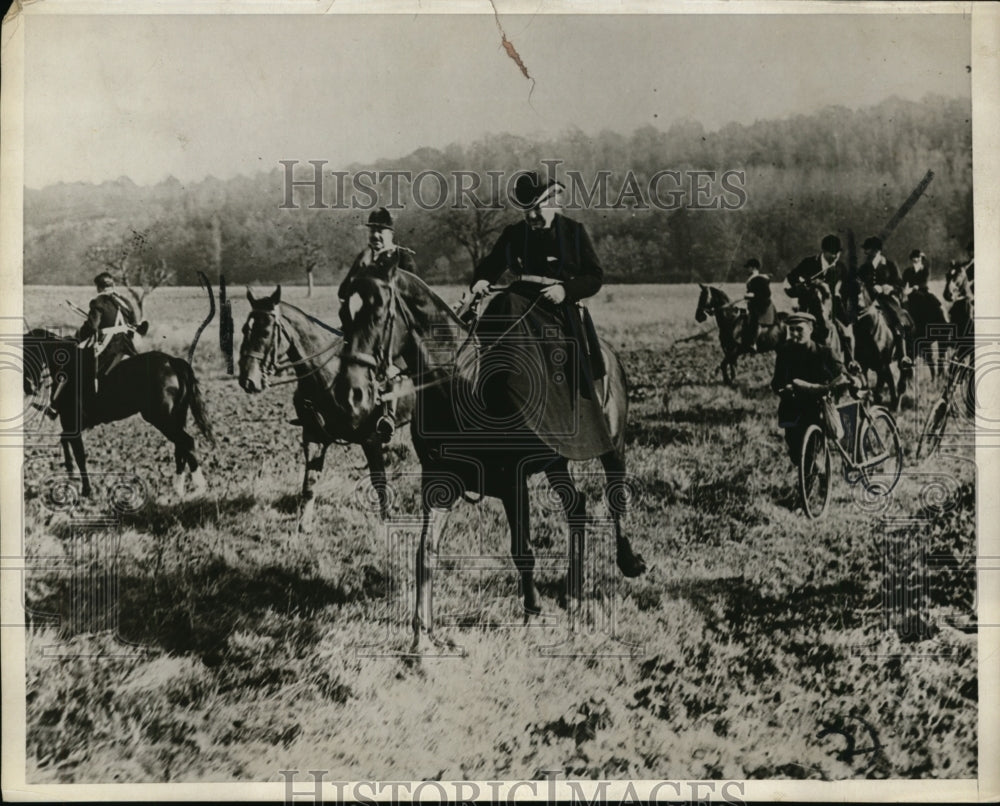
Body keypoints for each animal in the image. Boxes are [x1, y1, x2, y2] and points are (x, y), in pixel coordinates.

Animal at [21, 328, 214, 498]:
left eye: (28, 354)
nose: (28, 387)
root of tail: (172, 361)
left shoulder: (73, 425)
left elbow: (79, 455)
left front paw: (86, 490)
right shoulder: (74, 425)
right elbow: (65, 441)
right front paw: (71, 474)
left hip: (161, 419)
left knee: (186, 442)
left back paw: (198, 488)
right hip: (176, 417)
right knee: (180, 447)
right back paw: (178, 489)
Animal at [236, 288, 412, 532]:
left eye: (265, 332)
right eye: (245, 329)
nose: (248, 380)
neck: (333, 376)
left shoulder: (371, 439)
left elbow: (379, 480)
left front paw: (386, 519)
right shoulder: (314, 436)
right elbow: (310, 482)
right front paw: (304, 524)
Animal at [334, 268, 648, 652]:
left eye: (378, 312)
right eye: (344, 314)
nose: (349, 395)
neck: (463, 383)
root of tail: (607, 352)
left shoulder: (513, 481)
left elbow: (522, 549)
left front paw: (532, 613)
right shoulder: (438, 481)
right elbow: (426, 551)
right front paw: (421, 634)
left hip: (612, 446)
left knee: (615, 498)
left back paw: (628, 562)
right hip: (557, 462)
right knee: (577, 506)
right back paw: (574, 594)